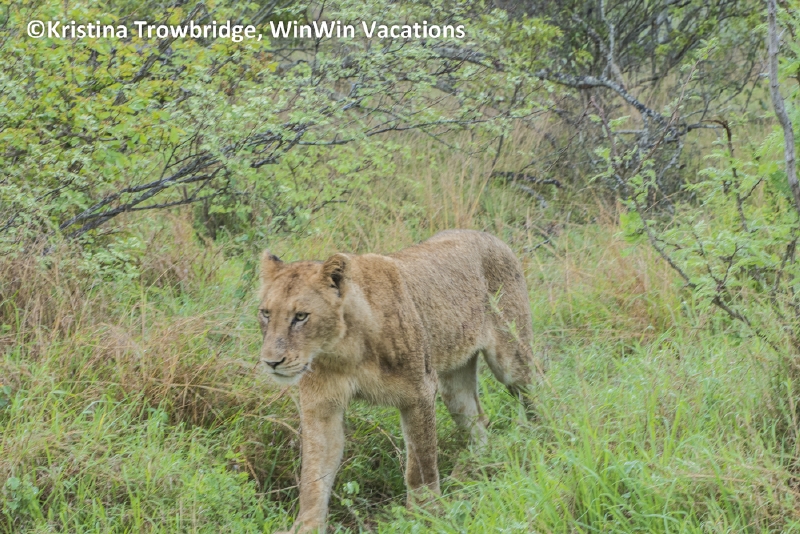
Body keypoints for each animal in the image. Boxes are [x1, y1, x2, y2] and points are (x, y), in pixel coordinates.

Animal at [258, 230, 536, 533]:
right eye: (266, 313)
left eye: (301, 316)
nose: (271, 362)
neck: (344, 350)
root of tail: (488, 235)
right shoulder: (321, 407)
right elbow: (314, 472)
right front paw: (307, 525)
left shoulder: (420, 393)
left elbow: (420, 463)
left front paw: (425, 514)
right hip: (454, 385)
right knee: (479, 421)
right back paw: (472, 470)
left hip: (511, 359)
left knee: (539, 393)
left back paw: (541, 441)